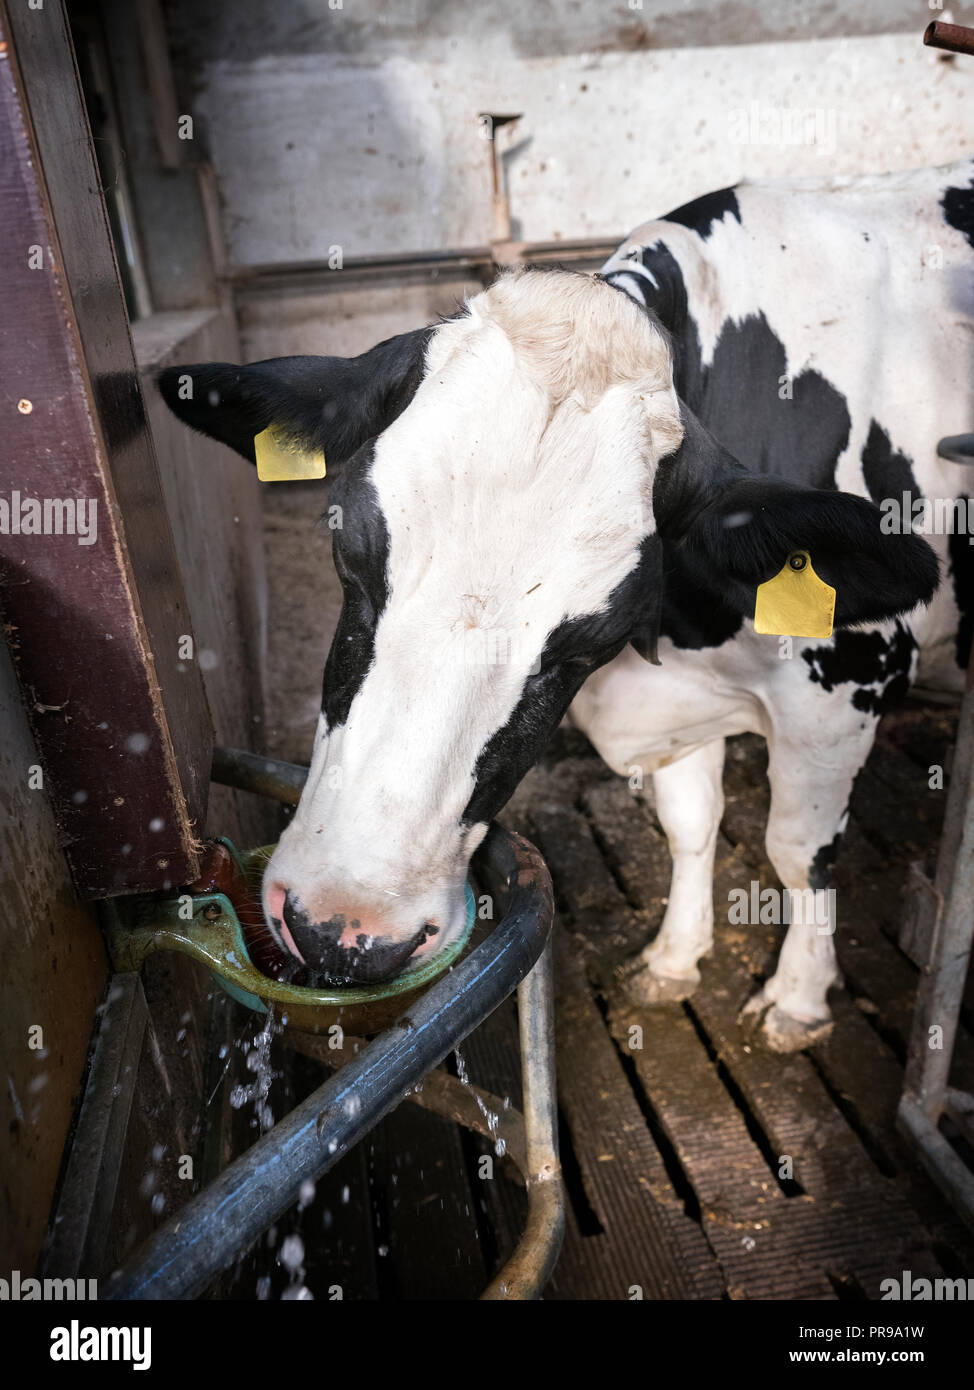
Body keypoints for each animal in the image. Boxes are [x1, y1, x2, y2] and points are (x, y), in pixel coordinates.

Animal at [159, 155, 973, 1051]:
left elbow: (798, 851)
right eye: (347, 554)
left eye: (590, 639)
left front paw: (797, 999)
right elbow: (692, 822)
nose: (344, 929)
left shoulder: (847, 685)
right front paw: (673, 960)